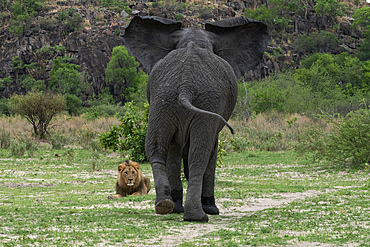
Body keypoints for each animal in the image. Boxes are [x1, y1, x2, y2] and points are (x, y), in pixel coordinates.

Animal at [122, 15, 268, 222]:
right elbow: (210, 149)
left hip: (163, 100)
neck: (193, 40)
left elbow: (174, 150)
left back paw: (165, 205)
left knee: (156, 147)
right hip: (206, 101)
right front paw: (211, 209)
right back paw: (199, 215)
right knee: (200, 153)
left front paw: (176, 207)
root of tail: (186, 85)